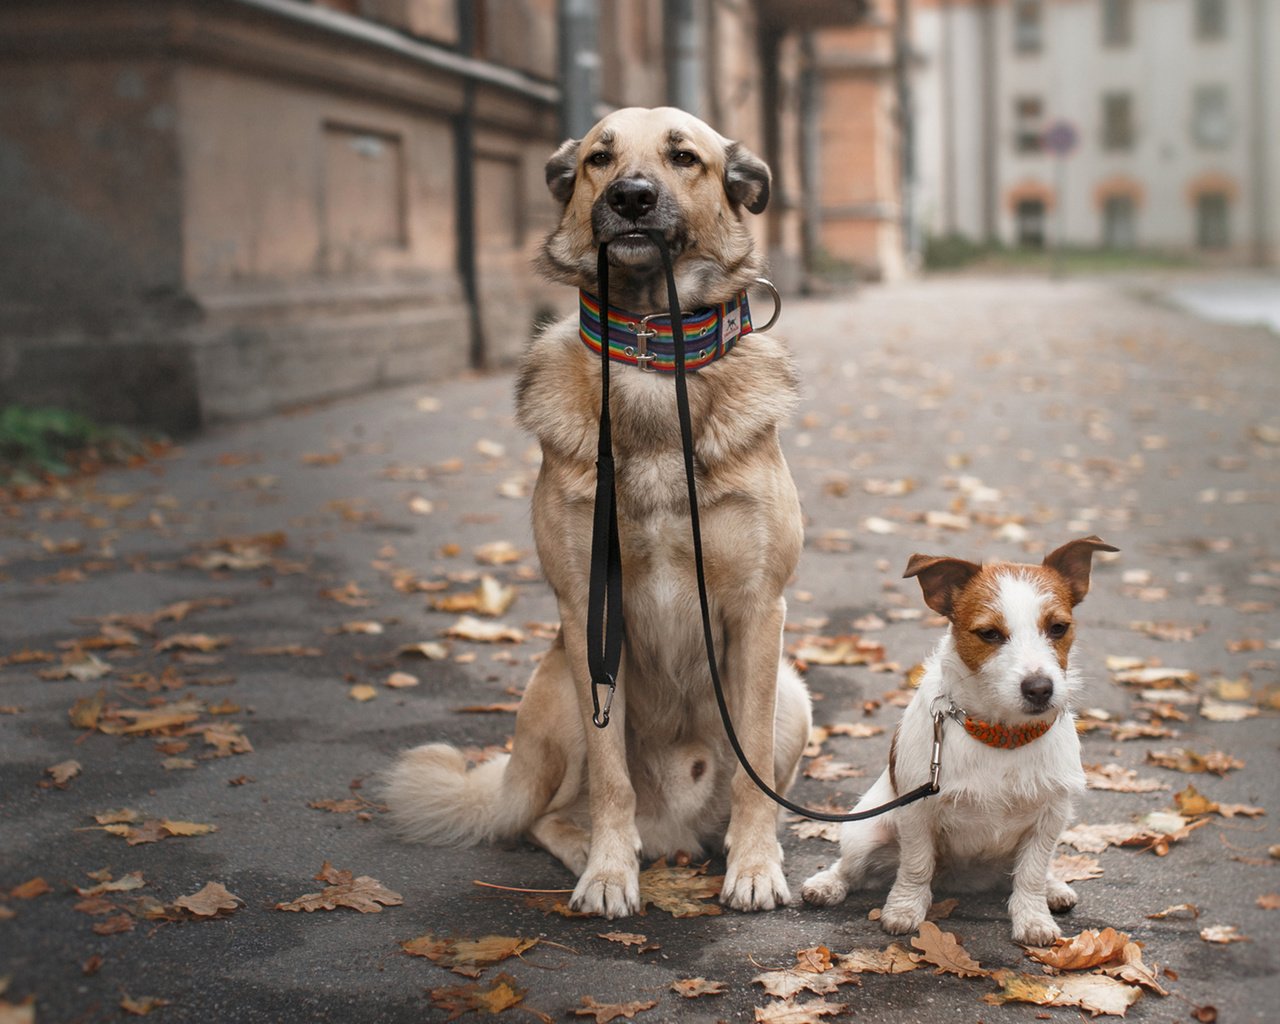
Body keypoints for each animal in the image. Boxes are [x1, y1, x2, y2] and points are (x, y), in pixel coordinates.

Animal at [384, 108, 814, 916]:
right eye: (598, 158)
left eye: (684, 157)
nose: (632, 198)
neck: (651, 351)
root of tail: (676, 828)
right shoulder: (589, 610)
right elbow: (612, 775)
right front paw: (611, 872)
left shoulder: (757, 612)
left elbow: (753, 776)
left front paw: (754, 866)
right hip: (556, 683)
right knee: (547, 816)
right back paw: (596, 849)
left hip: (791, 696)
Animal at [803, 535, 1116, 942]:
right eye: (990, 633)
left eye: (1058, 628)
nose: (1040, 689)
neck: (1001, 735)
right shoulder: (917, 813)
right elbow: (916, 865)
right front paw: (904, 908)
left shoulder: (1050, 816)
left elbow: (1030, 874)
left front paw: (1034, 918)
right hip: (866, 832)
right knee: (850, 867)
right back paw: (827, 884)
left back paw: (1053, 887)